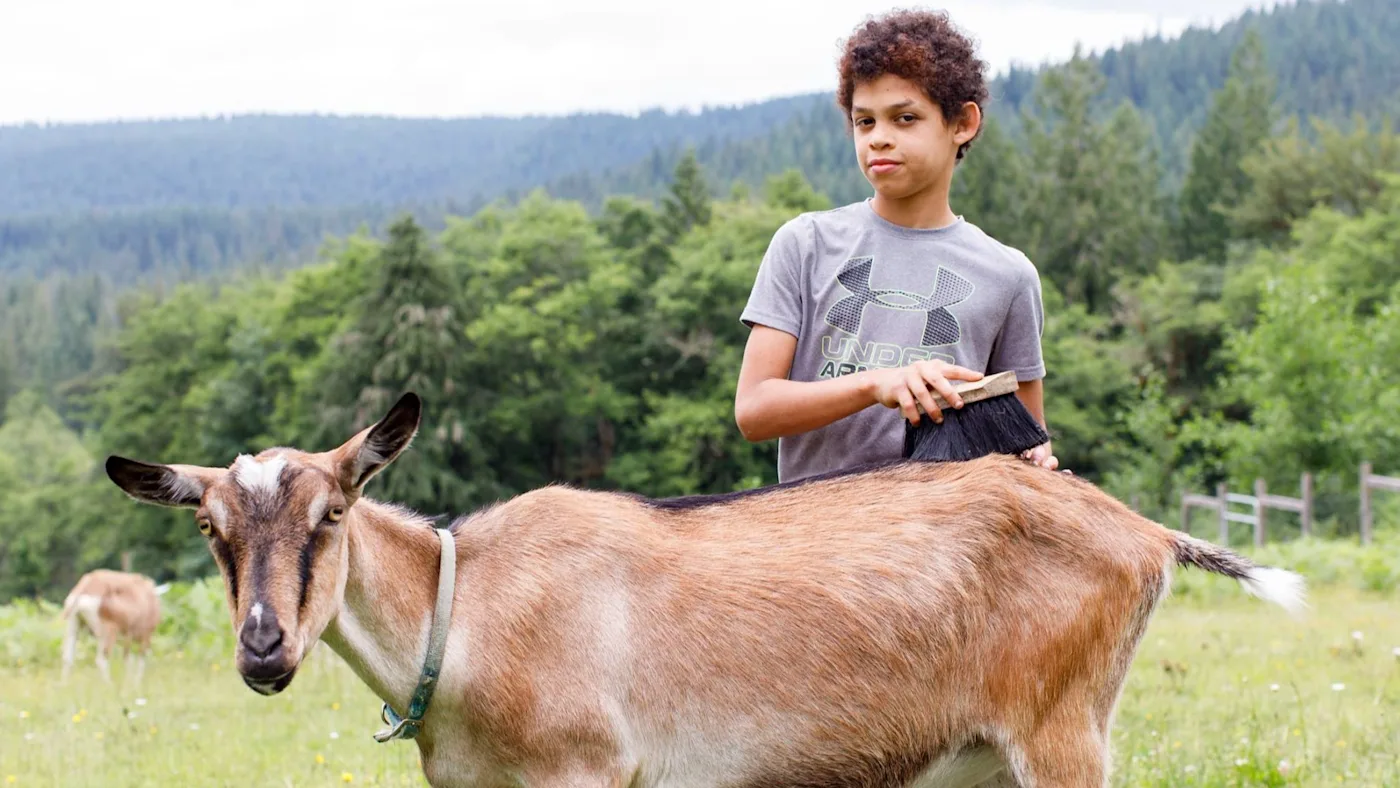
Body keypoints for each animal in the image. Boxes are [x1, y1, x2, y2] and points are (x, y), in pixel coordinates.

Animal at [103, 392, 1304, 788]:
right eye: (209, 529)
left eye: (332, 514)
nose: (264, 647)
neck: (468, 608)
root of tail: (1140, 530)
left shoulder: (586, 770)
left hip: (1063, 729)